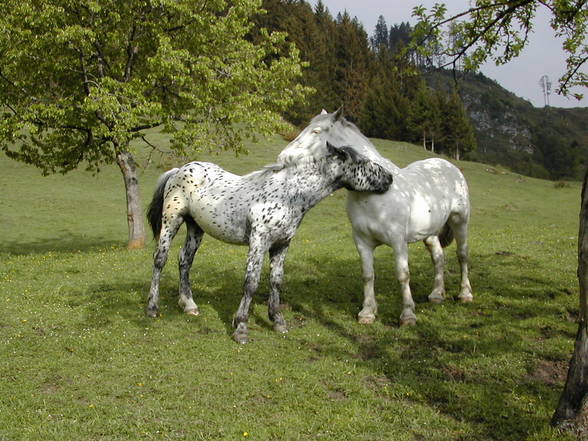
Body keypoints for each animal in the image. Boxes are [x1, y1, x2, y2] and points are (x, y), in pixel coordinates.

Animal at [146, 111, 396, 342]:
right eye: (361, 162)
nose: (389, 178)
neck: (289, 195)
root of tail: (178, 170)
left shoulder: (282, 244)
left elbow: (276, 282)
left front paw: (278, 322)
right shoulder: (259, 241)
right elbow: (251, 282)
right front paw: (241, 327)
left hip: (195, 227)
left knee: (184, 260)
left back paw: (189, 305)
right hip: (172, 221)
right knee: (160, 259)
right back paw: (152, 308)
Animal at [304, 108, 474, 324]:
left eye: (316, 131)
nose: (285, 155)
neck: (371, 197)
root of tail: (448, 165)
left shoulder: (398, 240)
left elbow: (403, 274)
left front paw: (408, 315)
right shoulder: (362, 241)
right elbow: (368, 275)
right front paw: (367, 312)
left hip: (460, 221)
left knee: (462, 255)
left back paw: (465, 294)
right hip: (430, 232)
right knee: (438, 257)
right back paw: (437, 294)